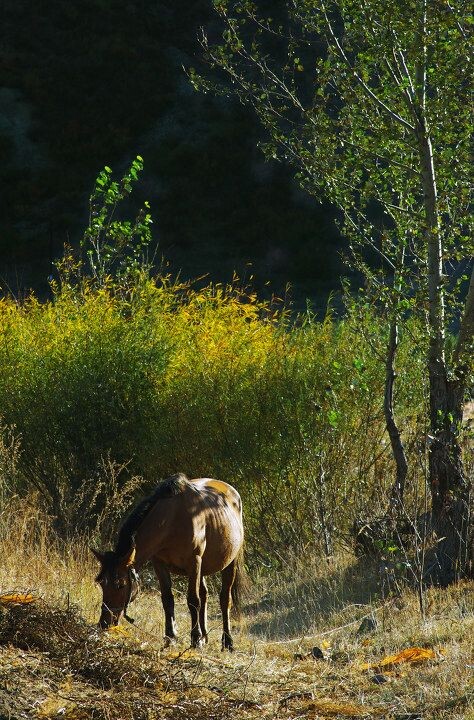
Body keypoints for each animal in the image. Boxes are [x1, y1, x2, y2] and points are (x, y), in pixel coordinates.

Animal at [94, 476, 246, 648]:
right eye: (101, 584)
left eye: (121, 585)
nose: (104, 623)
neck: (173, 519)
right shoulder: (159, 563)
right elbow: (167, 599)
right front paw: (170, 636)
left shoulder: (194, 562)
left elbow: (193, 600)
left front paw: (195, 639)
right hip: (202, 568)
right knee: (204, 594)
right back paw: (204, 636)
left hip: (229, 563)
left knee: (224, 599)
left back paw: (227, 641)